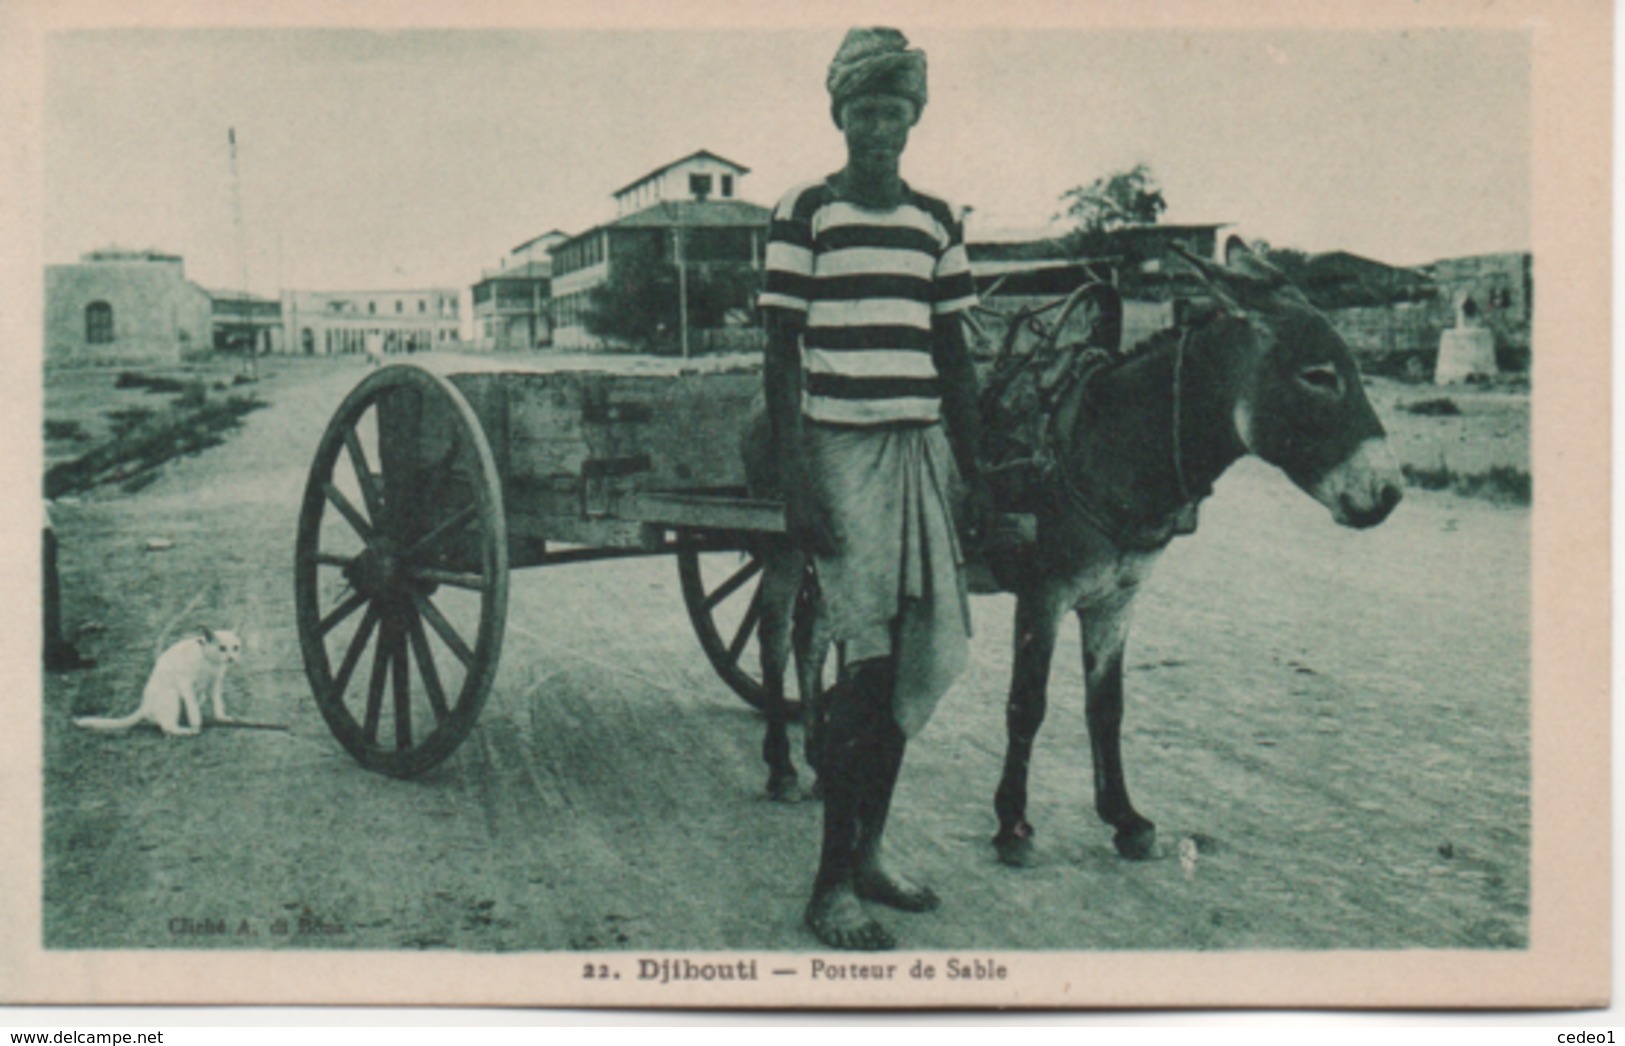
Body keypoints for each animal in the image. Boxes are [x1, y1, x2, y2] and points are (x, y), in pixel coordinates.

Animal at [73, 623, 240, 740]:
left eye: (236, 647)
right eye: (222, 648)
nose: (231, 658)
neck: (211, 663)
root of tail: (144, 705)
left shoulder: (215, 684)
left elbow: (218, 703)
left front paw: (221, 717)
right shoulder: (185, 683)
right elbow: (193, 709)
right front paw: (196, 724)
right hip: (172, 695)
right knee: (167, 725)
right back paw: (185, 731)